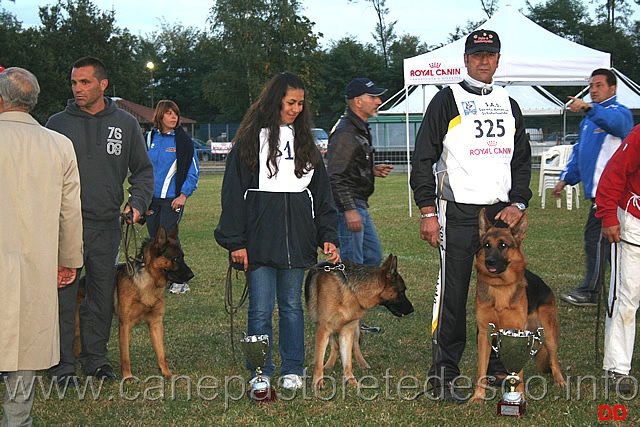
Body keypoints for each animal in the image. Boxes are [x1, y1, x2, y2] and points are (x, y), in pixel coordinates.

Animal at [304, 254, 416, 392]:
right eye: (401, 291)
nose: (412, 309)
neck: (349, 289)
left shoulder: (347, 331)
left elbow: (348, 361)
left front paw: (352, 381)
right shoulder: (323, 329)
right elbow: (319, 360)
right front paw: (318, 382)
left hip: (356, 328)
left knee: (355, 346)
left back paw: (363, 363)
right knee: (335, 345)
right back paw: (329, 363)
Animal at [470, 211, 564, 404]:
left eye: (503, 245)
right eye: (487, 245)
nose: (489, 262)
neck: (500, 288)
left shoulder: (518, 333)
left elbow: (518, 372)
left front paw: (519, 397)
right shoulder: (484, 334)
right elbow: (481, 369)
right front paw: (478, 396)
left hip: (549, 335)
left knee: (554, 358)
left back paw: (560, 380)